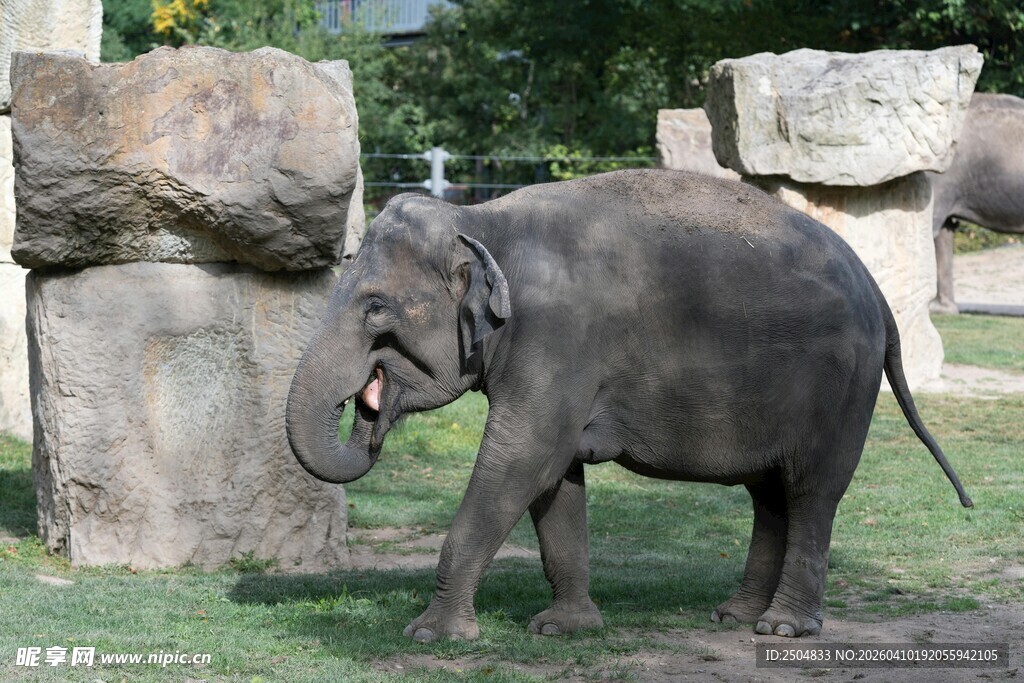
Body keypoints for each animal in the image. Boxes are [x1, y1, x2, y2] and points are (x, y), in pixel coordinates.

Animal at [286, 169, 972, 642]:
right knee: (770, 494)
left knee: (812, 490)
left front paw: (431, 636)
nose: (369, 411)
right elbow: (554, 478)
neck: (481, 220)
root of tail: (877, 292)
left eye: (376, 308)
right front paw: (565, 629)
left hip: (840, 386)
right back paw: (734, 614)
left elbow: (522, 460)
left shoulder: (558, 338)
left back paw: (780, 629)